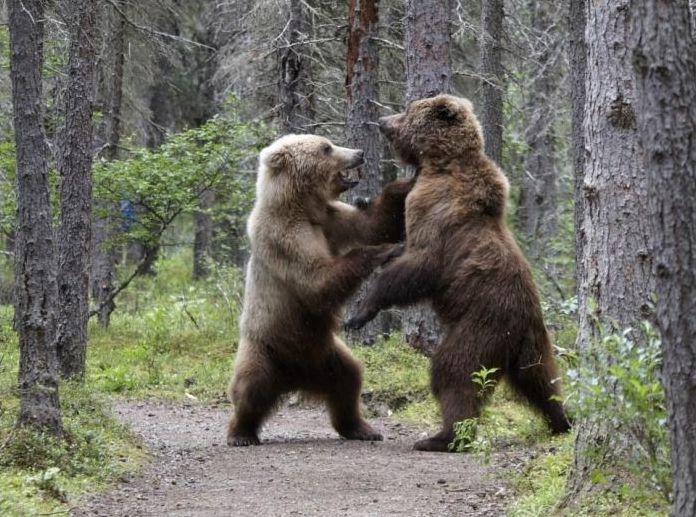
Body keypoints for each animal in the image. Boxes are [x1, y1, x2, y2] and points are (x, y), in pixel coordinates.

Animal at [228, 133, 414, 444]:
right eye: (326, 147)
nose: (359, 152)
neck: (301, 207)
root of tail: (294, 378)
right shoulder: (285, 239)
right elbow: (316, 282)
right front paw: (384, 251)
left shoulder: (330, 219)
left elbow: (372, 225)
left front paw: (407, 182)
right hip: (264, 348)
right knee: (250, 388)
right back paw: (241, 433)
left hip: (327, 356)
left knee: (349, 381)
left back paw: (362, 428)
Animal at [346, 95, 572, 452]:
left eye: (407, 111)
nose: (382, 120)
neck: (438, 163)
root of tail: (523, 323)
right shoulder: (416, 187)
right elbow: (390, 214)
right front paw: (363, 199)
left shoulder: (436, 210)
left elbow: (418, 264)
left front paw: (360, 311)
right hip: (533, 344)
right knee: (541, 381)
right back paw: (562, 420)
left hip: (482, 325)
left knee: (454, 370)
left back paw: (443, 436)